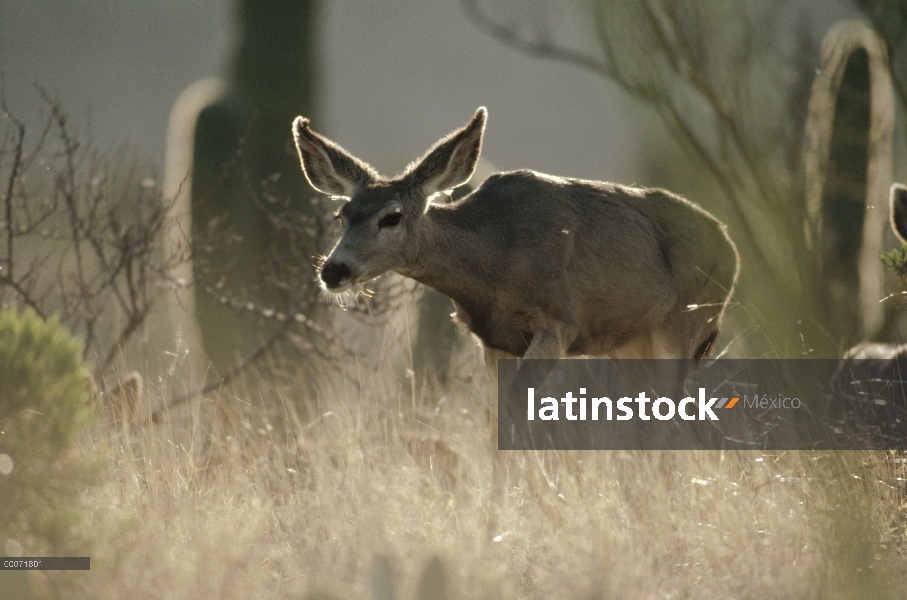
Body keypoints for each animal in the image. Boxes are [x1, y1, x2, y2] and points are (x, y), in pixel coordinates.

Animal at [294, 106, 740, 450]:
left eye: (391, 216)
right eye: (342, 215)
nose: (333, 270)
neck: (495, 264)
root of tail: (730, 246)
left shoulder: (559, 322)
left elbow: (517, 405)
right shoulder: (493, 340)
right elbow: (494, 422)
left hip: (684, 322)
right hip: (630, 344)